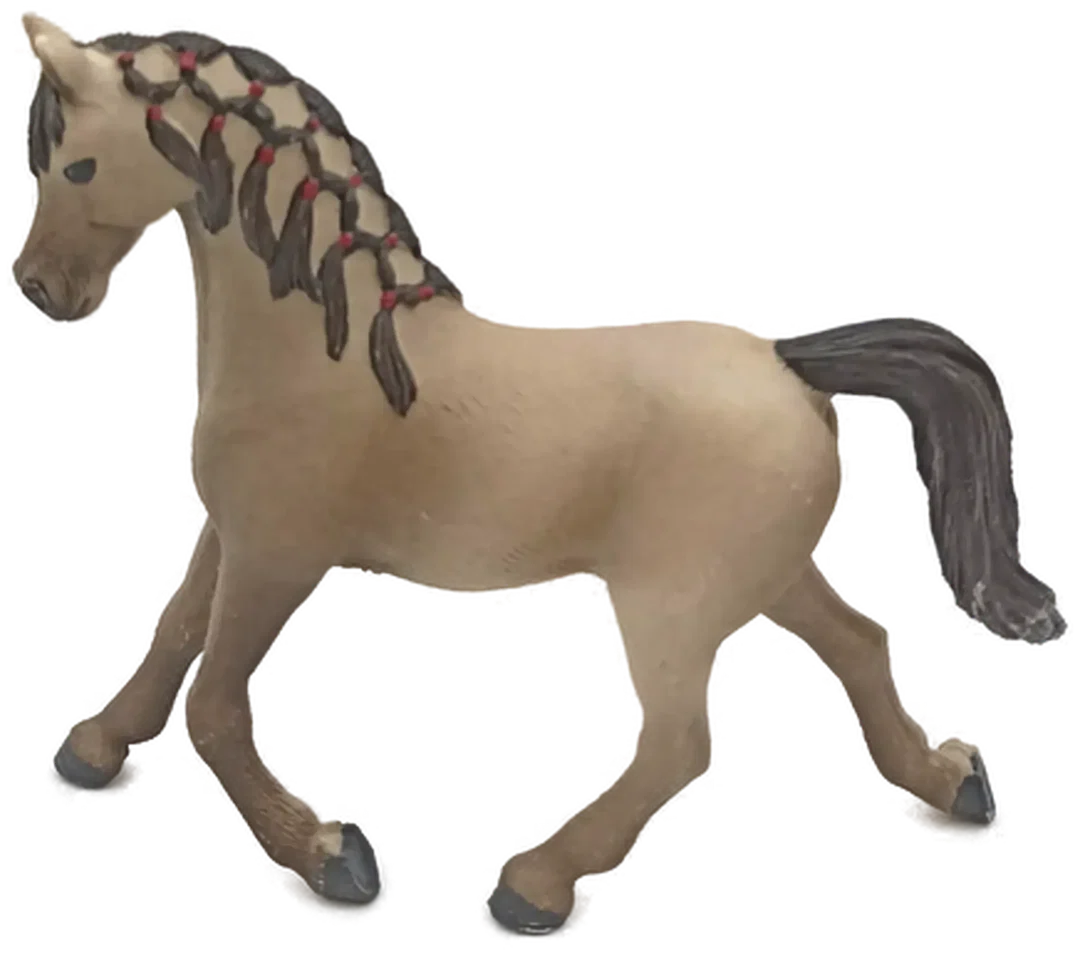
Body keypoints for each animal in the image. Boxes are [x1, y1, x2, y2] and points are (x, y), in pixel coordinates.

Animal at [15, 11, 1069, 941]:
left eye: (77, 163)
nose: (39, 290)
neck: (327, 351)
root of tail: (790, 362)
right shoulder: (233, 533)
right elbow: (169, 637)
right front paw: (93, 755)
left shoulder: (281, 551)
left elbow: (214, 703)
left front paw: (334, 863)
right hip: (765, 573)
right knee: (862, 642)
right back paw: (956, 788)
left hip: (671, 600)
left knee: (682, 741)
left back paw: (534, 888)